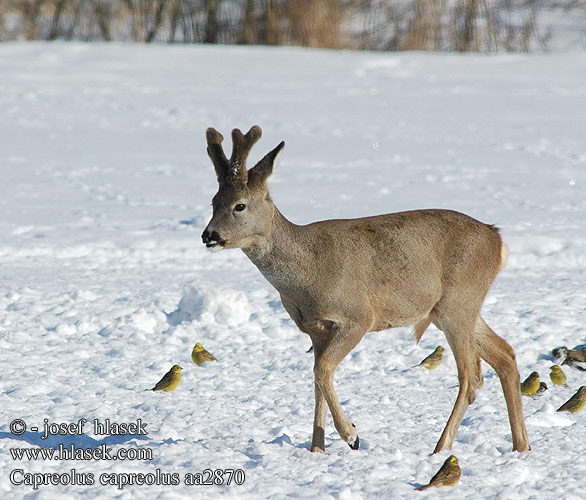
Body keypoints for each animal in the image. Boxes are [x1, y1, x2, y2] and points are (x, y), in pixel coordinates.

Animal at [201, 124, 528, 454]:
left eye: (239, 205)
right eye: (213, 202)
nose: (208, 235)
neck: (307, 274)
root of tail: (497, 239)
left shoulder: (357, 317)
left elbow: (323, 371)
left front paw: (351, 435)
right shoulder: (315, 330)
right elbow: (318, 379)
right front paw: (317, 449)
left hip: (458, 302)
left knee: (471, 377)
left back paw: (441, 448)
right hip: (453, 308)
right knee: (505, 355)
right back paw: (521, 446)